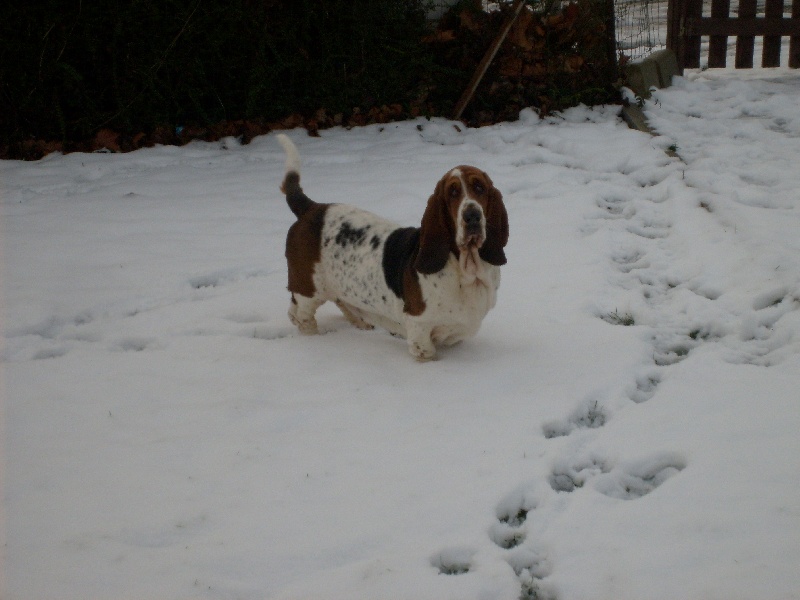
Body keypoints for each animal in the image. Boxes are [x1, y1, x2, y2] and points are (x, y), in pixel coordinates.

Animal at [278, 134, 510, 360]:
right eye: (452, 193)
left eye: (480, 188)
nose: (472, 216)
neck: (466, 270)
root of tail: (311, 207)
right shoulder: (420, 332)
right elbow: (427, 353)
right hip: (309, 290)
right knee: (299, 315)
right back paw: (314, 339)